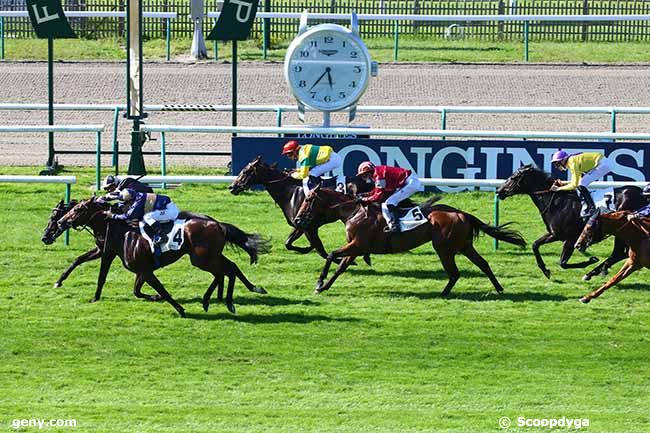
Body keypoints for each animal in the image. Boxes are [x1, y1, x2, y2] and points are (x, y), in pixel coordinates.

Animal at [46, 197, 268, 316]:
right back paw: (221, 298)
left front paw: (178, 308)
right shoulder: (111, 254)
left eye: (78, 209)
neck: (120, 230)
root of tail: (217, 224)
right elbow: (93, 270)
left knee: (226, 271)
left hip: (201, 258)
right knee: (228, 269)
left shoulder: (142, 269)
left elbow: (160, 290)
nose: (46, 235)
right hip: (207, 257)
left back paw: (226, 300)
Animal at [228, 155, 370, 264]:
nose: (232, 187)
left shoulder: (308, 227)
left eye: (245, 171)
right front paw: (306, 249)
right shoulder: (299, 225)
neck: (290, 193)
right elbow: (288, 243)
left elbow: (320, 249)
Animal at [292, 187, 524, 296]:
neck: (354, 212)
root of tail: (461, 213)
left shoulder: (357, 245)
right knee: (483, 264)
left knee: (455, 273)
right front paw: (324, 286)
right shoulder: (356, 248)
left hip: (444, 248)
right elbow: (340, 267)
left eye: (309, 200)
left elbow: (332, 255)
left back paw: (443, 293)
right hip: (463, 246)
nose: (298, 219)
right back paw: (499, 289)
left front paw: (319, 283)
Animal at [494, 164, 640, 278]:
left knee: (618, 253)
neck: (557, 203)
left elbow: (563, 263)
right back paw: (594, 272)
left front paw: (591, 259)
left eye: (513, 177)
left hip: (622, 231)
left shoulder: (570, 238)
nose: (498, 191)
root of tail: (641, 193)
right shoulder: (554, 234)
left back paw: (592, 272)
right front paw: (545, 270)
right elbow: (535, 245)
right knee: (620, 254)